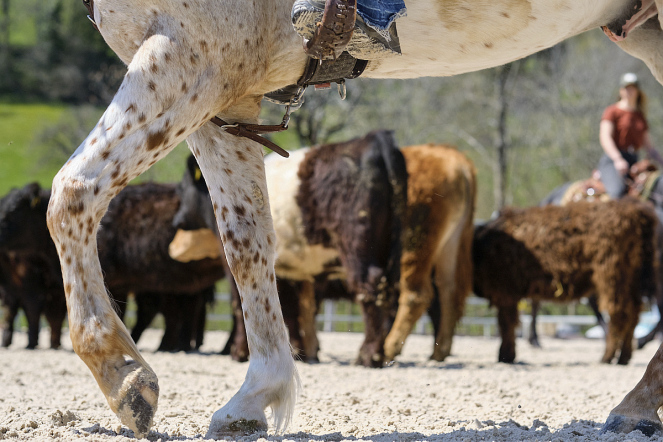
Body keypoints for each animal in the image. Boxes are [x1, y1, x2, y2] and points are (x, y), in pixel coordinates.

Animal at [472, 199, 660, 366]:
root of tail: (635, 211)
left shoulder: (506, 293)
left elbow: (506, 324)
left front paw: (505, 356)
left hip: (612, 277)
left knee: (619, 313)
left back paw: (607, 357)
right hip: (632, 281)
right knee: (633, 314)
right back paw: (623, 357)